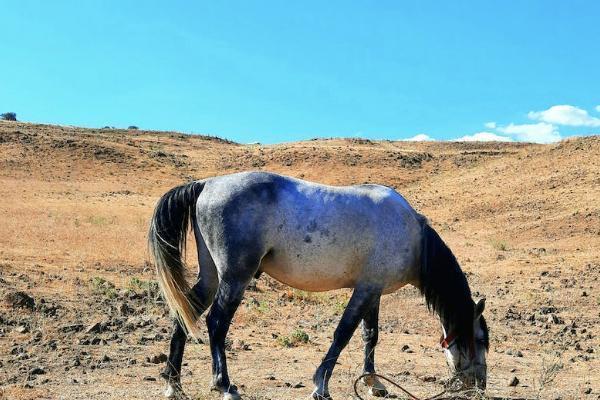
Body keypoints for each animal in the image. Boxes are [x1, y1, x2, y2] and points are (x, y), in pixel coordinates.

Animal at [148, 170, 490, 398]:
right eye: (481, 339)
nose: (480, 385)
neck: (414, 236)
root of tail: (206, 184)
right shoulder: (364, 290)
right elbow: (343, 334)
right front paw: (321, 385)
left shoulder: (374, 290)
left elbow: (370, 335)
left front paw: (373, 382)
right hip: (234, 279)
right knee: (216, 323)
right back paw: (225, 385)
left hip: (211, 277)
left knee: (184, 314)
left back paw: (173, 384)